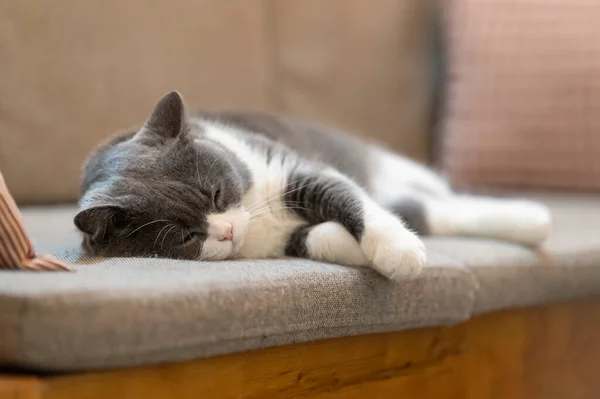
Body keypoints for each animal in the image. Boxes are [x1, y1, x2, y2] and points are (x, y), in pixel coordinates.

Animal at [76, 90, 552, 280]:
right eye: (183, 236)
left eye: (215, 193)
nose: (226, 231)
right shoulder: (285, 239)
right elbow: (320, 237)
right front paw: (359, 251)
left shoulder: (296, 169)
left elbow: (350, 200)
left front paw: (397, 251)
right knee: (430, 210)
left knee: (441, 204)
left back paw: (532, 218)